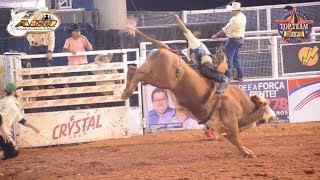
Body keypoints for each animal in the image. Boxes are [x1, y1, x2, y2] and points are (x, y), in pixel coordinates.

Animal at [121, 26, 276, 158]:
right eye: (267, 104)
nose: (274, 115)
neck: (243, 105)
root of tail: (166, 48)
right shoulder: (231, 121)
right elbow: (237, 140)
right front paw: (248, 154)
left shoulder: (223, 128)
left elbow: (234, 141)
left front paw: (247, 151)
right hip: (161, 79)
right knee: (138, 73)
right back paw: (126, 92)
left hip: (154, 74)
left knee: (133, 69)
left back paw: (127, 89)